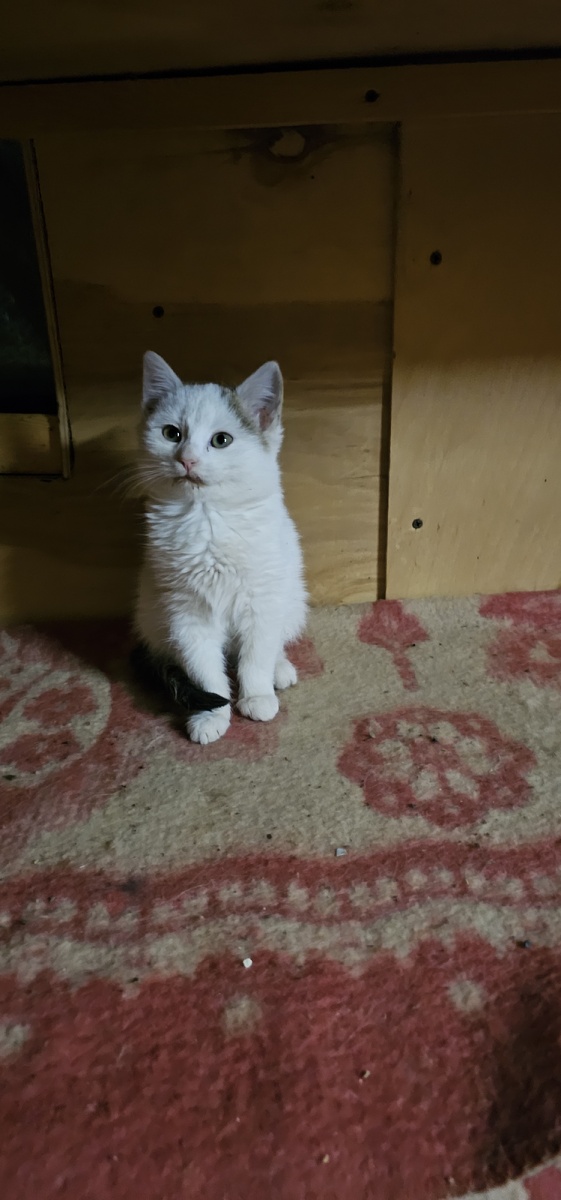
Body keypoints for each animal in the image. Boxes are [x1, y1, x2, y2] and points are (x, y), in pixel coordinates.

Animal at [134, 351, 308, 745]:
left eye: (222, 440)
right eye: (171, 433)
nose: (187, 459)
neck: (207, 519)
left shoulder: (262, 600)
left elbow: (256, 653)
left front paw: (256, 695)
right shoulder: (186, 612)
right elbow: (204, 669)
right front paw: (211, 713)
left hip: (292, 595)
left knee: (272, 640)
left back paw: (278, 669)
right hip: (151, 613)